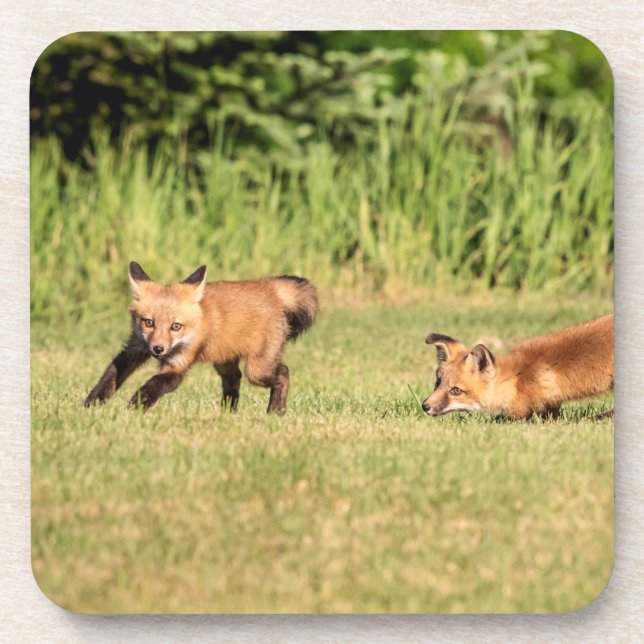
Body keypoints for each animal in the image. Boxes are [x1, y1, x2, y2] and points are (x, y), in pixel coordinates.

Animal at [84, 262, 319, 414]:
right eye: (148, 322)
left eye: (175, 326)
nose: (158, 350)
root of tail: (269, 286)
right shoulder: (135, 348)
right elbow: (111, 375)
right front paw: (92, 404)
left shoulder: (179, 364)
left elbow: (154, 384)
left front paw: (135, 407)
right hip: (225, 361)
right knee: (234, 379)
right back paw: (227, 413)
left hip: (257, 370)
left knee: (283, 372)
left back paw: (275, 411)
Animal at [421, 314, 614, 420]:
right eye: (437, 382)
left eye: (456, 391)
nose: (425, 406)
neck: (516, 379)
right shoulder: (552, 405)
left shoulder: (528, 409)